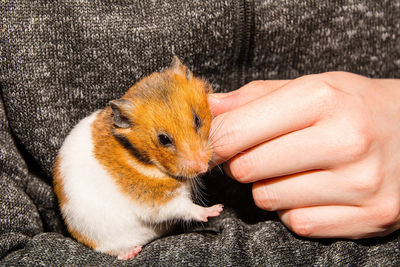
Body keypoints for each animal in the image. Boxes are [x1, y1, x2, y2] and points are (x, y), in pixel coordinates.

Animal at [51, 57, 223, 262]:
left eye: (197, 120)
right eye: (163, 139)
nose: (202, 167)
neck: (145, 160)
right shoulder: (155, 202)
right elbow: (185, 207)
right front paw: (216, 209)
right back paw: (130, 252)